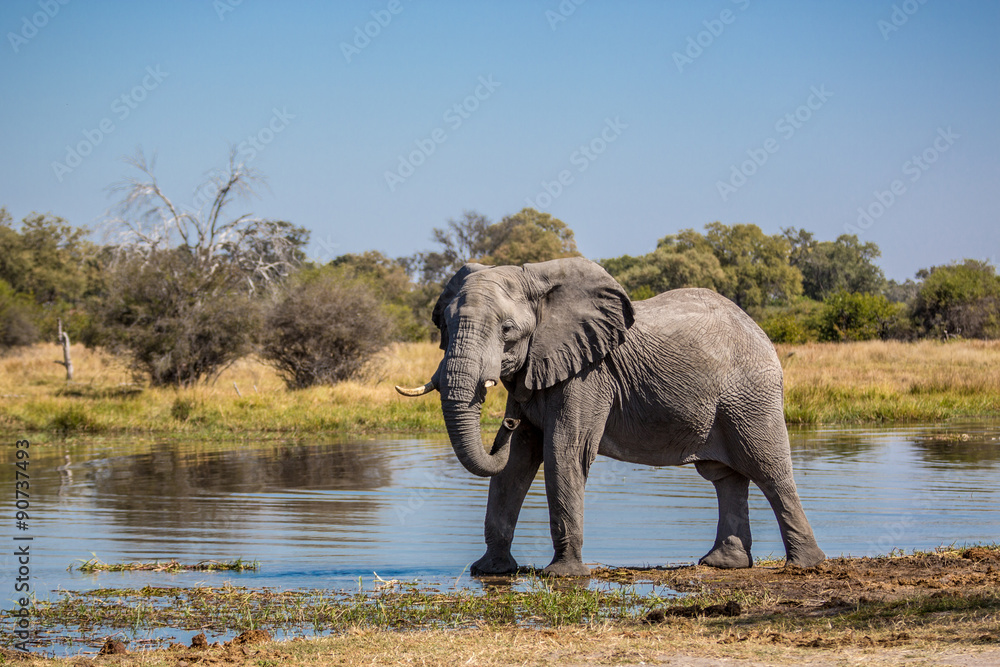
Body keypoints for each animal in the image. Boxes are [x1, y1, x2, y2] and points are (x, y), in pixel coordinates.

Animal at [396, 257, 825, 576]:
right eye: (443, 325)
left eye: (508, 330)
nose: (507, 423)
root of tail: (759, 329)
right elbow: (517, 462)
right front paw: (489, 571)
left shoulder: (588, 375)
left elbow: (563, 451)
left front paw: (563, 575)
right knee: (726, 478)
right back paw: (722, 564)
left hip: (750, 395)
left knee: (768, 469)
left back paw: (805, 565)